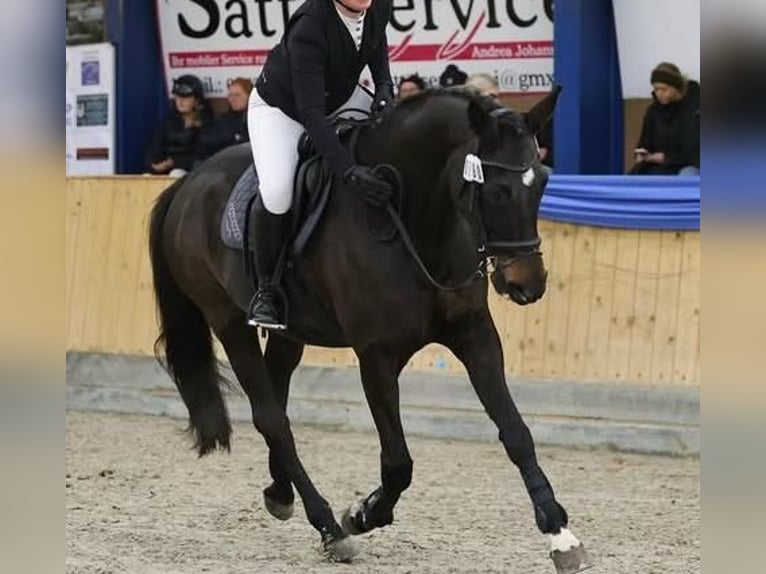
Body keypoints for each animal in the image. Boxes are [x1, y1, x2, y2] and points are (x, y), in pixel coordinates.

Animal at [148, 86, 592, 574]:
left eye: (544, 183)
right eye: (495, 189)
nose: (527, 285)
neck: (414, 220)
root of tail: (189, 182)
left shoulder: (474, 335)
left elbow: (516, 434)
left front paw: (561, 535)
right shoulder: (376, 355)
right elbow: (398, 462)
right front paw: (363, 514)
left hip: (289, 332)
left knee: (276, 401)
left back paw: (281, 493)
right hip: (228, 321)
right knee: (271, 417)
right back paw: (329, 527)